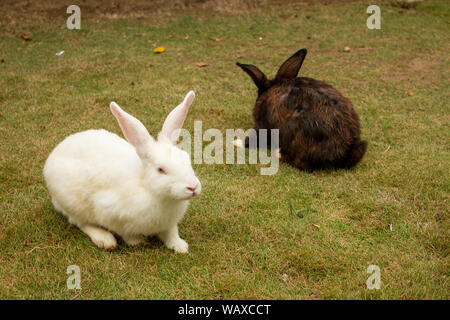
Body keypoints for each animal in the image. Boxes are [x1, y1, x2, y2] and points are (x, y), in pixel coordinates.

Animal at [43, 90, 201, 252]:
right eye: (161, 170)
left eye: (186, 158)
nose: (193, 187)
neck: (149, 189)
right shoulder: (110, 213)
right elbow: (126, 234)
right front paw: (138, 241)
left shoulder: (169, 224)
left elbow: (171, 233)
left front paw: (180, 246)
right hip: (73, 203)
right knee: (80, 222)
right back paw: (105, 239)